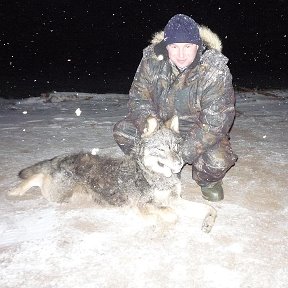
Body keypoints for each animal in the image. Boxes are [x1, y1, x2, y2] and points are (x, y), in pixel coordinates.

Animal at [8, 116, 216, 233]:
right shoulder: (144, 204)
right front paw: (152, 219)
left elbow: (210, 208)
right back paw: (16, 190)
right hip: (58, 194)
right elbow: (170, 213)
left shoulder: (176, 199)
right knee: (38, 176)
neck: (153, 175)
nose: (180, 163)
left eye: (176, 148)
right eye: (162, 149)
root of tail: (62, 157)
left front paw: (208, 222)